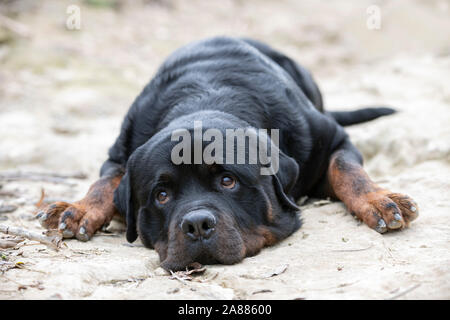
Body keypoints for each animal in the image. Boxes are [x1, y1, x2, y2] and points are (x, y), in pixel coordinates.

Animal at [37, 38, 418, 272]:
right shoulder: (121, 152)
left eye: (228, 180)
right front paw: (78, 208)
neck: (206, 98)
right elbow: (104, 182)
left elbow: (348, 171)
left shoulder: (333, 138)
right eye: (161, 195)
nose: (196, 224)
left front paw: (379, 200)